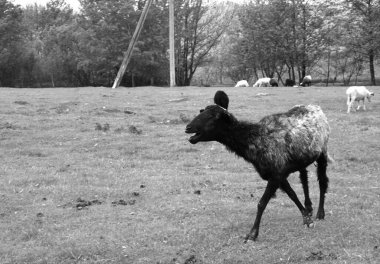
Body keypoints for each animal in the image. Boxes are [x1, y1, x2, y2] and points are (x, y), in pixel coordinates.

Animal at [186, 92, 332, 242]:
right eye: (201, 111)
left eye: (212, 117)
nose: (188, 128)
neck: (255, 142)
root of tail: (316, 107)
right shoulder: (278, 173)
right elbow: (292, 194)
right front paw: (306, 218)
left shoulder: (276, 173)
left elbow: (261, 203)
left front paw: (252, 234)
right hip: (302, 159)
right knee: (304, 179)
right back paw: (309, 207)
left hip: (323, 151)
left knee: (322, 181)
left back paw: (320, 213)